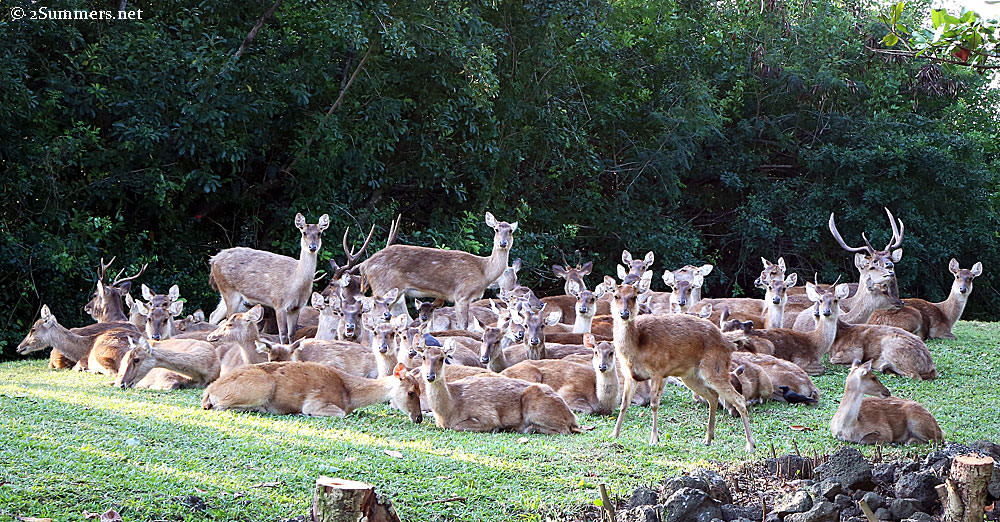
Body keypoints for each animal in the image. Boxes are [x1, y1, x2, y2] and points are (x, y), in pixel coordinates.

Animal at [202, 361, 423, 423]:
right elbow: (339, 413)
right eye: (411, 392)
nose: (419, 418)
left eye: (421, 390)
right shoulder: (315, 401)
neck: (349, 395)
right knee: (220, 406)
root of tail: (209, 390)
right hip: (261, 385)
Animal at [208, 213, 330, 343]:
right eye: (304, 232)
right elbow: (283, 333)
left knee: (214, 315)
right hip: (228, 290)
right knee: (227, 316)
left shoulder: (297, 307)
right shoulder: (279, 303)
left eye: (319, 233)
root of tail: (213, 260)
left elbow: (292, 334)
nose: (312, 247)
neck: (295, 284)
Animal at [358, 212, 517, 331]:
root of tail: (364, 265)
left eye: (510, 230)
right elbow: (463, 325)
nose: (503, 243)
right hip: (383, 287)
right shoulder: (462, 294)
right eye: (496, 229)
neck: (484, 271)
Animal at [419, 344, 582, 434]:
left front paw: (497, 428)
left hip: (537, 406)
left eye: (442, 358)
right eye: (423, 357)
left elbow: (459, 426)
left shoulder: (487, 415)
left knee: (564, 430)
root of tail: (572, 417)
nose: (430, 376)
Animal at [603, 271, 755, 451]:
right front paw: (614, 434)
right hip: (691, 376)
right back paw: (708, 438)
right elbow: (624, 404)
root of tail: (727, 341)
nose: (624, 314)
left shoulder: (658, 369)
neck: (637, 345)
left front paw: (654, 439)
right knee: (713, 396)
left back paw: (750, 445)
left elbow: (654, 403)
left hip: (715, 368)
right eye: (616, 296)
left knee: (739, 399)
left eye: (634, 296)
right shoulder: (630, 374)